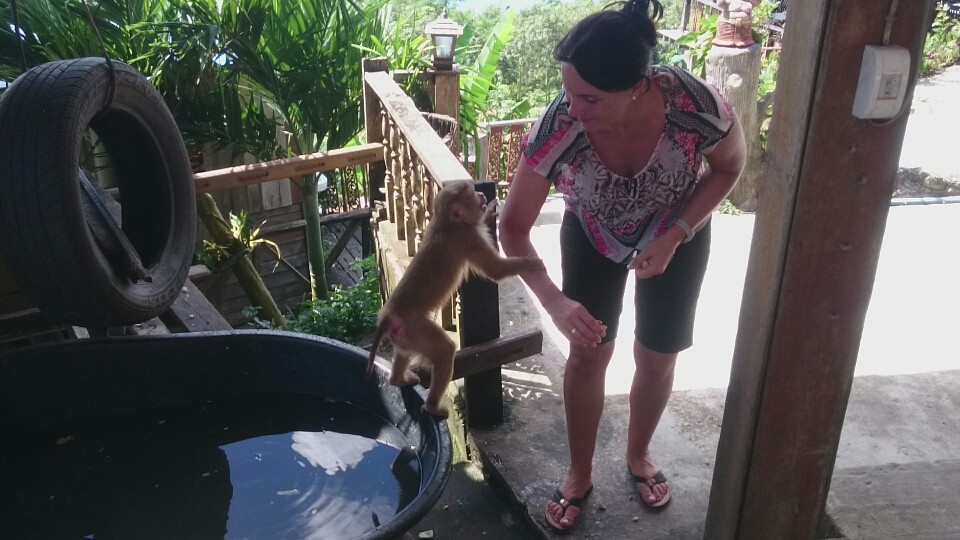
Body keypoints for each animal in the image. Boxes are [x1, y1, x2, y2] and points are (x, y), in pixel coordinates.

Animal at [366, 180, 545, 418]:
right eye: (473, 195)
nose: (481, 195)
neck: (446, 224)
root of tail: (389, 316)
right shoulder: (467, 237)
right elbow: (495, 270)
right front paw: (531, 263)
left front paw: (490, 210)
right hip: (413, 326)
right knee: (444, 351)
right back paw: (431, 406)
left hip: (404, 334)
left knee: (404, 352)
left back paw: (397, 379)